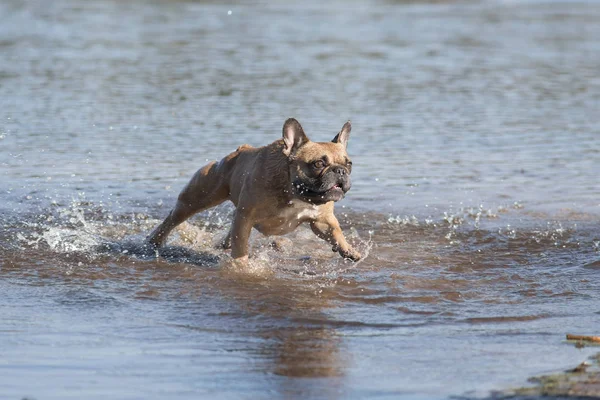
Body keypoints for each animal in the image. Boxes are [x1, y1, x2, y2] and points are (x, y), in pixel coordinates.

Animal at [146, 118, 360, 262]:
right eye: (318, 164)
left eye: (349, 164)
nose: (340, 171)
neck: (293, 192)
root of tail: (240, 150)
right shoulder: (246, 218)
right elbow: (241, 248)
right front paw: (242, 266)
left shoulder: (321, 220)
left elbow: (335, 232)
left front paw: (348, 249)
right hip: (198, 196)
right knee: (173, 218)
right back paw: (154, 241)